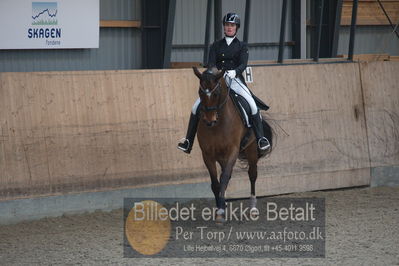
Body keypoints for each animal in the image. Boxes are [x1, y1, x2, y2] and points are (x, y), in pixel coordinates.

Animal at [192, 66, 274, 222]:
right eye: (200, 92)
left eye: (216, 93)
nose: (209, 121)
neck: (218, 123)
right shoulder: (207, 155)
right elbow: (216, 183)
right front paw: (220, 208)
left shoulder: (233, 151)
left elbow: (224, 178)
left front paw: (221, 210)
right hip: (221, 156)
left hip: (251, 151)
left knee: (252, 175)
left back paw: (253, 208)